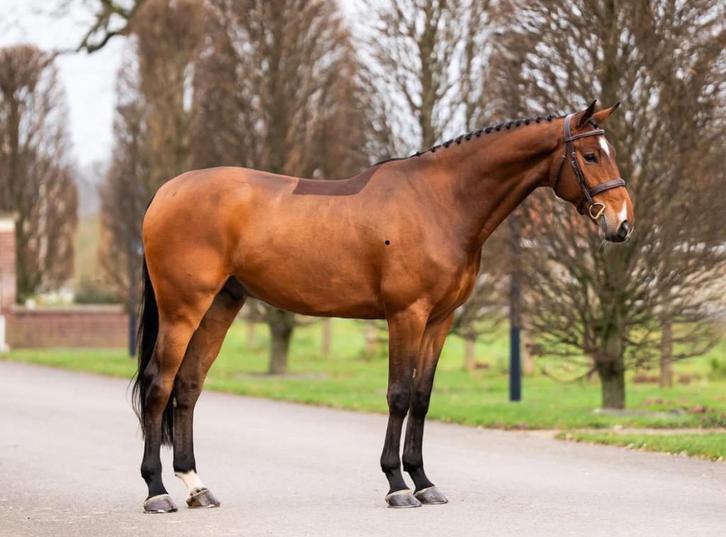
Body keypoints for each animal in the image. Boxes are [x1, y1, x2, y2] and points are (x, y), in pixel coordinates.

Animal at [133, 100, 633, 513]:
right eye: (591, 156)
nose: (622, 222)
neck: (440, 201)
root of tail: (164, 193)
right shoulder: (406, 315)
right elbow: (399, 395)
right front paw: (397, 485)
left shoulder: (439, 321)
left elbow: (423, 398)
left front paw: (424, 482)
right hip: (183, 310)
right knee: (160, 385)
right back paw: (157, 492)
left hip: (221, 305)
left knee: (189, 387)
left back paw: (197, 487)